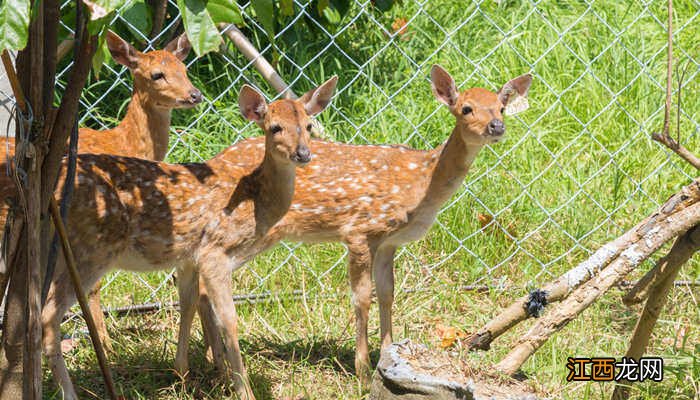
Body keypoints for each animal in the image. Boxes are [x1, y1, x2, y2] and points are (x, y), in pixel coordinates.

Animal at [40, 78, 336, 400]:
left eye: (308, 125)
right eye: (275, 128)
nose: (303, 154)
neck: (255, 200)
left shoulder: (188, 258)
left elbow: (188, 304)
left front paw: (182, 376)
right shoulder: (214, 252)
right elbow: (229, 320)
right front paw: (242, 389)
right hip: (89, 250)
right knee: (47, 316)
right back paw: (68, 391)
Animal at [197, 65, 532, 378]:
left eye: (500, 107)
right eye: (466, 108)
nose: (496, 125)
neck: (423, 182)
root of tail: (213, 161)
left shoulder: (388, 242)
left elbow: (387, 293)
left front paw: (388, 354)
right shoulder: (360, 230)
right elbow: (361, 298)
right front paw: (362, 370)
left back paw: (214, 363)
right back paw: (219, 364)